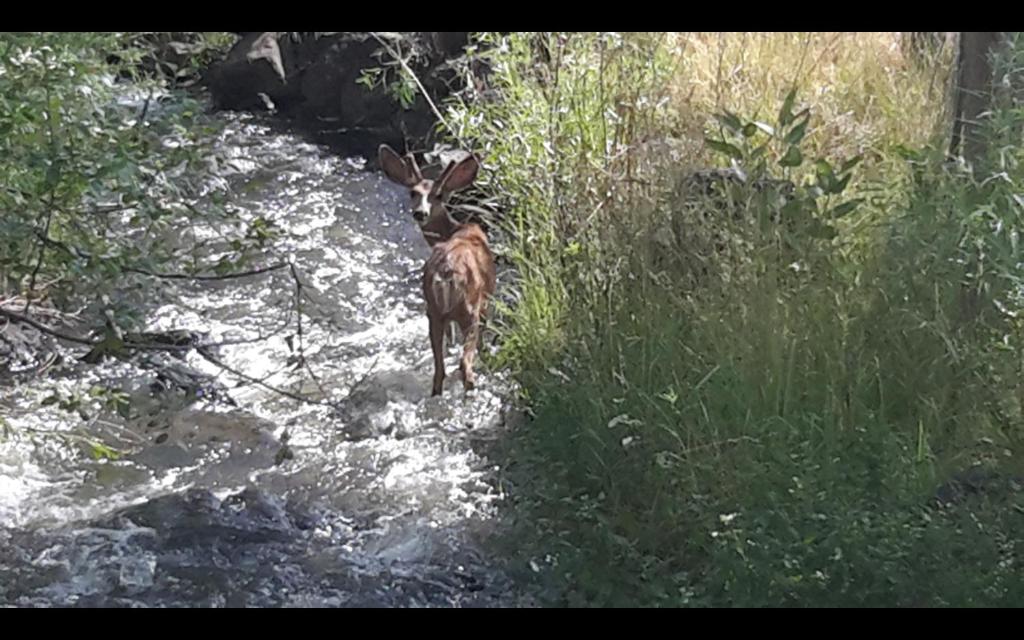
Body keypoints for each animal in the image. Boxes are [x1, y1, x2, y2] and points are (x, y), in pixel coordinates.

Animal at [380, 143, 499, 395]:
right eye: (413, 193)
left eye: (437, 195)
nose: (420, 213)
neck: (454, 229)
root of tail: (446, 273)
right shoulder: (487, 299)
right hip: (468, 311)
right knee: (464, 366)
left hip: (433, 311)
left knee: (439, 370)